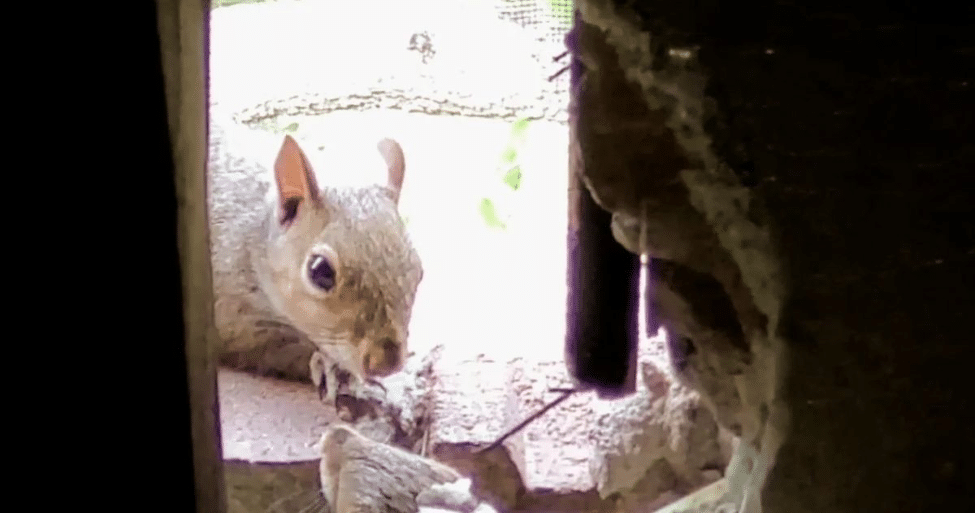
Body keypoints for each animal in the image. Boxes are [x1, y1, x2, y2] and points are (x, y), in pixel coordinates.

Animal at [208, 111, 424, 406]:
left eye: (419, 272)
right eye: (320, 271)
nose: (387, 364)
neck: (254, 239)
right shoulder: (230, 314)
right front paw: (331, 368)